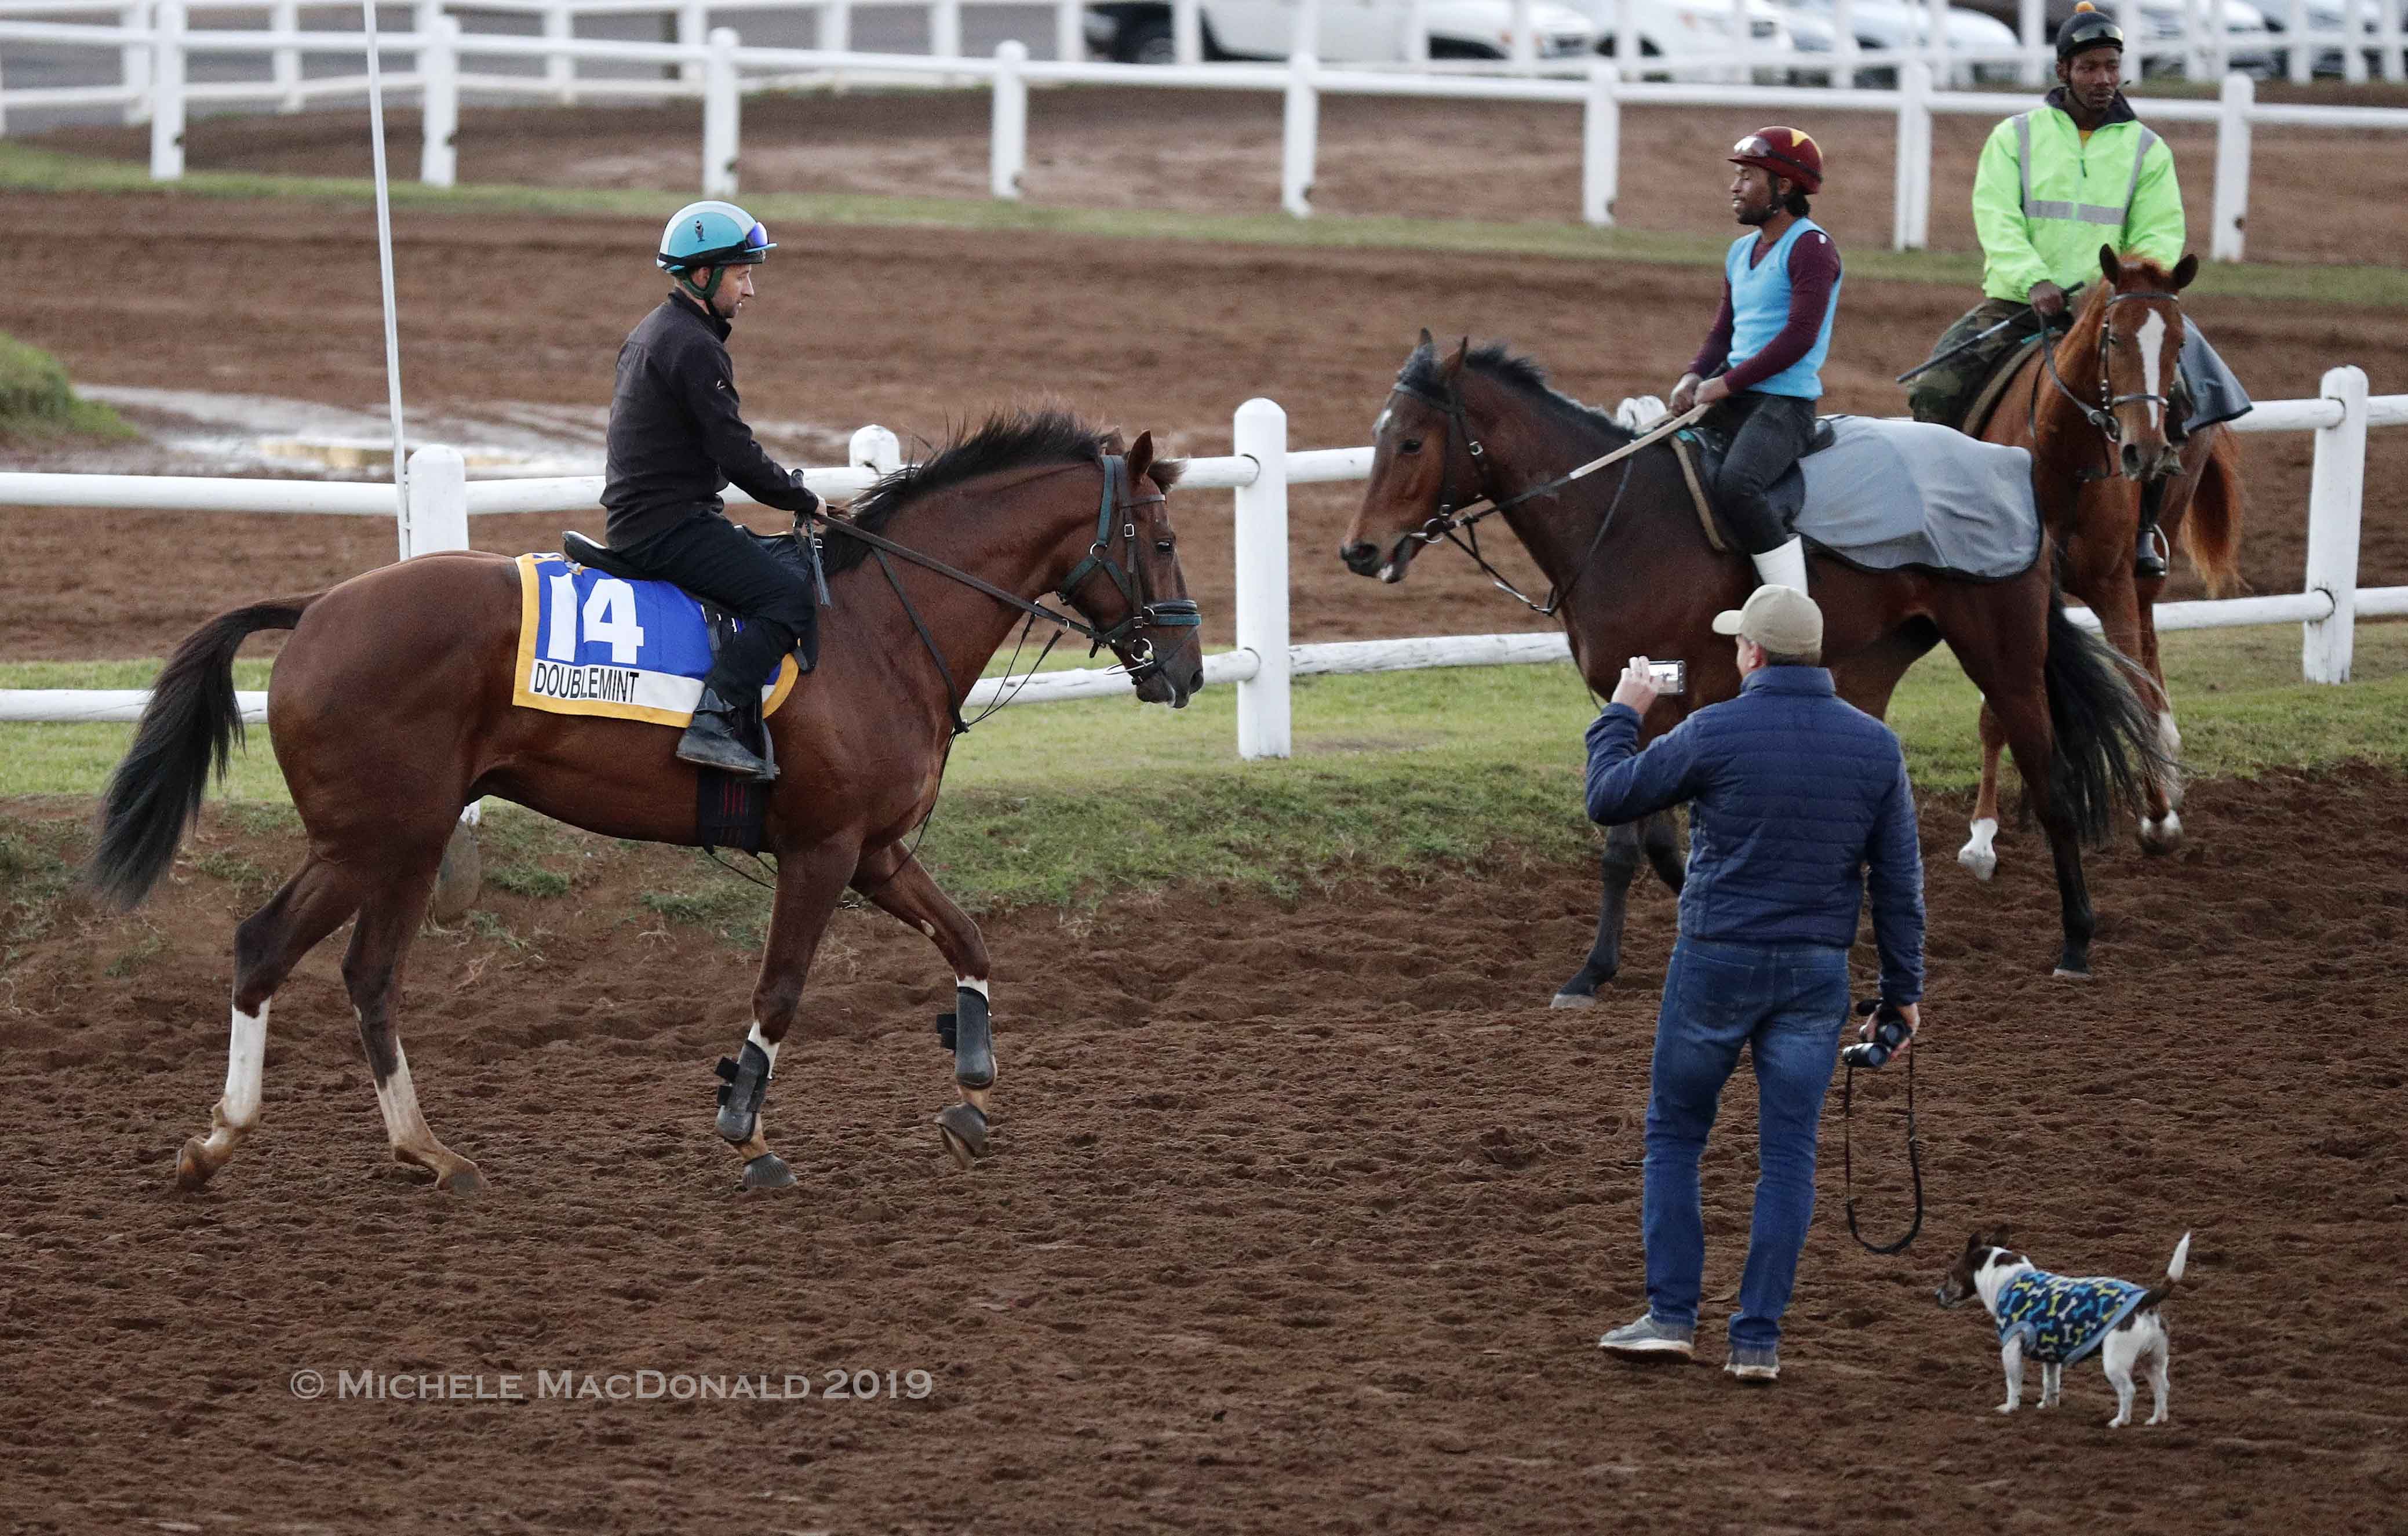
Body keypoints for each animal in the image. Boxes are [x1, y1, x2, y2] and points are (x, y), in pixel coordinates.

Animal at [89, 418, 1204, 1203]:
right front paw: (748, 1133)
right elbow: (780, 991)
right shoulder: (821, 848)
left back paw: (414, 1151)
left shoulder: (877, 852)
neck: (881, 629)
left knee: (354, 973)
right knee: (274, 949)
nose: (1187, 667)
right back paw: (235, 1142)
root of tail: (316, 608)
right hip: (378, 837)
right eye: (1158, 537)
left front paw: (971, 1089)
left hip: (399, 843)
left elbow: (969, 938)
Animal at [1339, 339, 2167, 1006]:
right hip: (1877, 665)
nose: (1359, 551)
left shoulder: (1662, 701)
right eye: (1377, 437)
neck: (1619, 517)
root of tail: (2013, 470)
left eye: (1411, 441)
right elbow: (1659, 843)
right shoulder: (1638, 705)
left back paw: (2076, 941)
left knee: (2054, 787)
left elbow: (1626, 847)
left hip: (2006, 659)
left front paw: (1593, 972)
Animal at [1926, 1228, 2196, 1435]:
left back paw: (2120, 1421)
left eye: (1951, 1273)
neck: (2006, 1280)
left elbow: (2013, 1383)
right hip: (2153, 1360)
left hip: (2115, 1362)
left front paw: (2010, 1408)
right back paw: (2157, 1420)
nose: (1937, 1295)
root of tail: (2146, 1300)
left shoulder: (2011, 1347)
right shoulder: (2051, 1354)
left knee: (2129, 1390)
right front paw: (2048, 1406)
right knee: (2162, 1387)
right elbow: (2051, 1382)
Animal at [1965, 247, 2244, 886]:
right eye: (2113, 337)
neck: (2060, 462)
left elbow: (2134, 691)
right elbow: (1999, 709)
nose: (2147, 449)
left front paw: (2158, 817)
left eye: (2176, 343)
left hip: (2146, 569)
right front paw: (1984, 834)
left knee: (2148, 649)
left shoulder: (2112, 586)